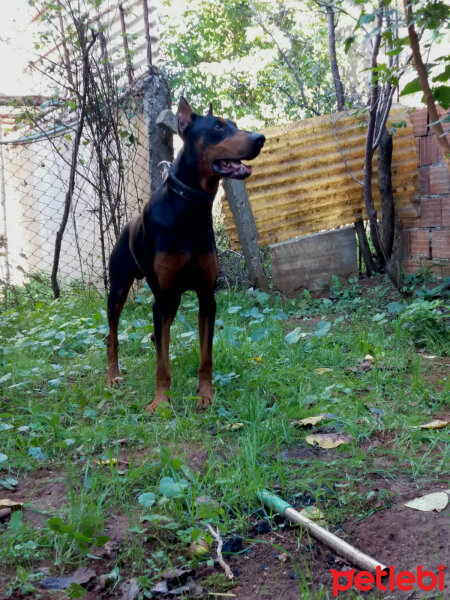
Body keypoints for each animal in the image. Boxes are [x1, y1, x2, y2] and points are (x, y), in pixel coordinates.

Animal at [106, 98, 264, 414]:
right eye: (217, 127)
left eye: (235, 125)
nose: (260, 138)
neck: (189, 208)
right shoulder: (161, 297)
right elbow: (161, 362)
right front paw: (160, 402)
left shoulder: (206, 295)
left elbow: (205, 356)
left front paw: (206, 395)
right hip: (119, 290)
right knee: (113, 335)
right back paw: (113, 376)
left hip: (174, 298)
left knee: (159, 334)